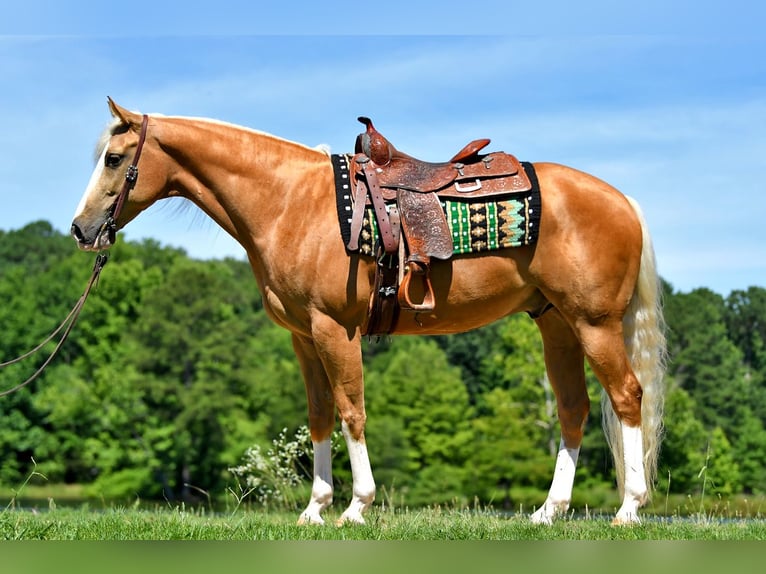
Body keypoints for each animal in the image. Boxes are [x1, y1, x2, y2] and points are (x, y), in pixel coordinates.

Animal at [73, 99, 672, 528]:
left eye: (114, 159)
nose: (81, 229)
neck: (290, 202)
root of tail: (623, 201)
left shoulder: (335, 329)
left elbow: (351, 410)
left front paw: (356, 506)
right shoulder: (302, 337)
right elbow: (319, 415)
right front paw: (314, 508)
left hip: (595, 325)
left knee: (627, 397)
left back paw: (629, 508)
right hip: (556, 324)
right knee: (572, 410)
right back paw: (549, 511)